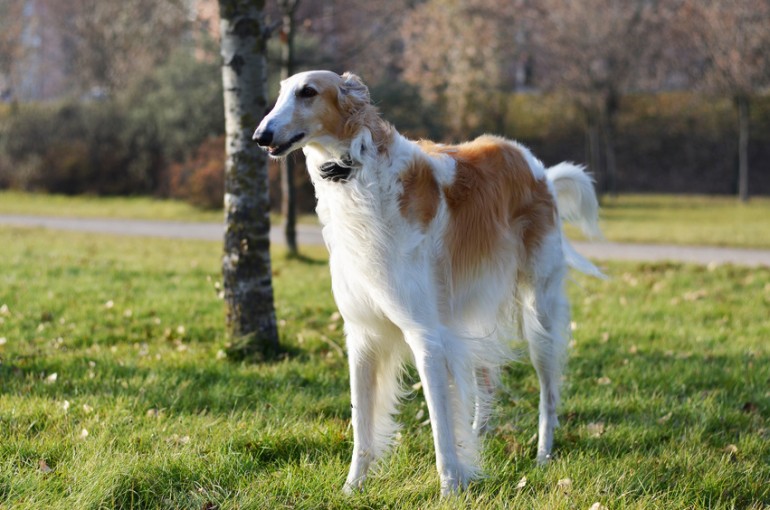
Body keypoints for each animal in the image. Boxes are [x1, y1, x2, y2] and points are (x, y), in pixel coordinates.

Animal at [255, 70, 604, 494]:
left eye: (308, 92)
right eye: (279, 94)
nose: (260, 135)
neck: (359, 173)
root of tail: (539, 169)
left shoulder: (426, 334)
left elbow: (440, 423)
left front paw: (450, 487)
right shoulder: (362, 333)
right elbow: (362, 424)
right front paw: (353, 487)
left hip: (540, 314)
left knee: (548, 393)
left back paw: (543, 456)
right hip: (472, 317)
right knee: (485, 383)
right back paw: (479, 441)